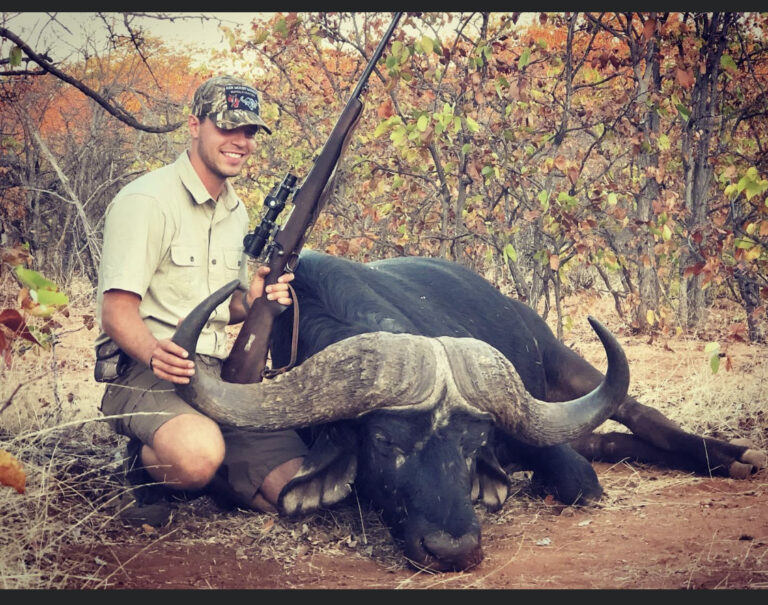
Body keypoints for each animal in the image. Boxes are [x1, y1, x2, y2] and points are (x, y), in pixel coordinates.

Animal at [172, 250, 766, 572]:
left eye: (472, 444)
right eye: (384, 442)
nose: (451, 549)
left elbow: (580, 479)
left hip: (564, 361)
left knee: (638, 415)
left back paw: (738, 458)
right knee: (607, 436)